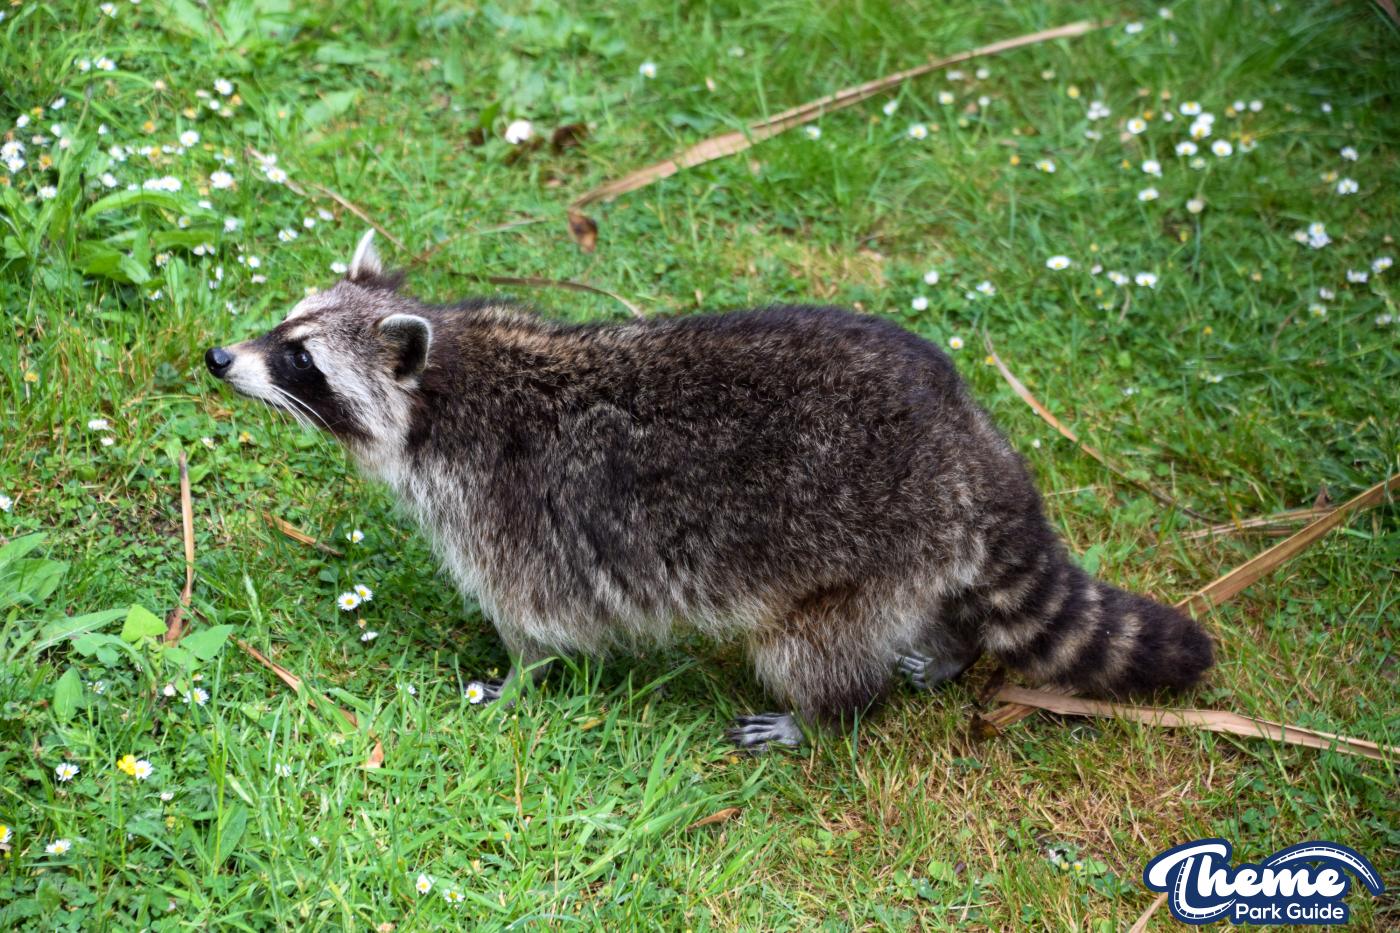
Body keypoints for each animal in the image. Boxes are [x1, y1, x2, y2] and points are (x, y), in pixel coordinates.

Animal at [207, 230, 1213, 749]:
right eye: (285, 326)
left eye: (301, 360)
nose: (220, 356)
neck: (446, 378)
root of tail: (964, 435)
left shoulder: (507, 505)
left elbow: (534, 618)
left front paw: (517, 678)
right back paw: (954, 645)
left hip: (862, 547)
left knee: (812, 648)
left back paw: (827, 712)